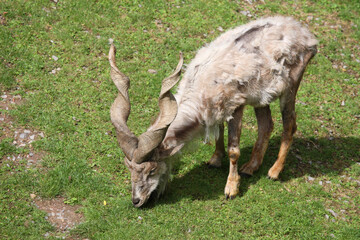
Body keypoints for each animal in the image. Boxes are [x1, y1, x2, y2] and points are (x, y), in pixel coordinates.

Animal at [109, 15, 318, 207]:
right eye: (128, 167)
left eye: (152, 169)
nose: (136, 200)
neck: (202, 83)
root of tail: (307, 36)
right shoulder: (217, 109)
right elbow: (219, 132)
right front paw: (215, 160)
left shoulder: (236, 105)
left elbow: (234, 149)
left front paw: (231, 189)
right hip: (261, 97)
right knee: (266, 124)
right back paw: (250, 168)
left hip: (291, 85)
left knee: (289, 124)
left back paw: (273, 172)